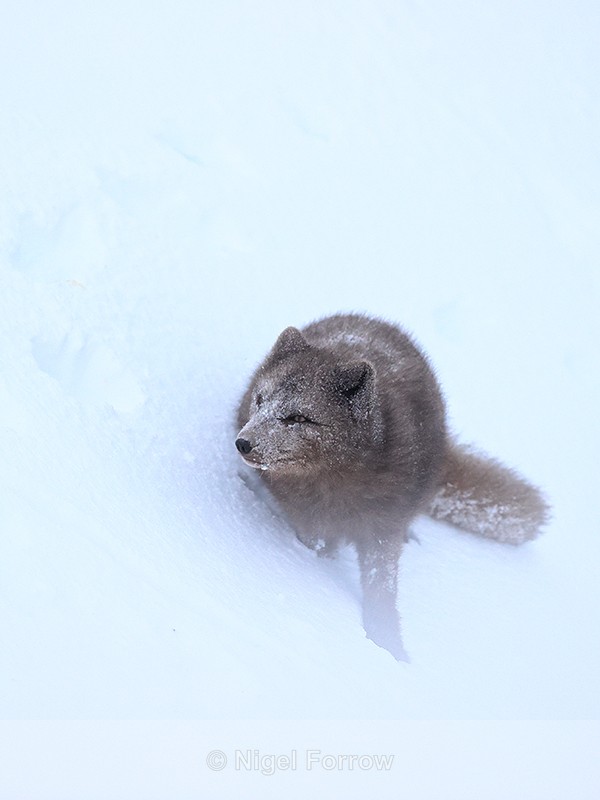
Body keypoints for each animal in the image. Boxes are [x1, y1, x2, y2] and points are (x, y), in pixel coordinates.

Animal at [235, 313, 550, 661]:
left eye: (298, 418)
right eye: (261, 400)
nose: (243, 443)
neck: (334, 486)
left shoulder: (383, 525)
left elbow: (382, 587)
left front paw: (387, 644)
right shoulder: (308, 519)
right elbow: (315, 546)